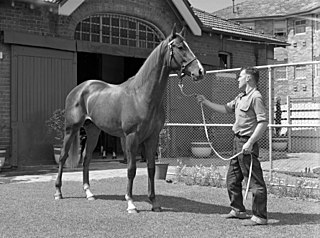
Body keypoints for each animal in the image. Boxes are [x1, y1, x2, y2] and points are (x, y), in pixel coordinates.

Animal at [54, 25, 205, 213]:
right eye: (180, 47)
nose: (200, 71)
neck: (141, 96)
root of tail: (80, 89)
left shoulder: (152, 137)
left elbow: (151, 168)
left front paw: (154, 202)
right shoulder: (132, 137)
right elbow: (131, 169)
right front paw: (131, 203)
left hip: (93, 131)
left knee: (87, 159)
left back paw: (89, 193)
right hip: (71, 129)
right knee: (63, 157)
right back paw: (58, 192)